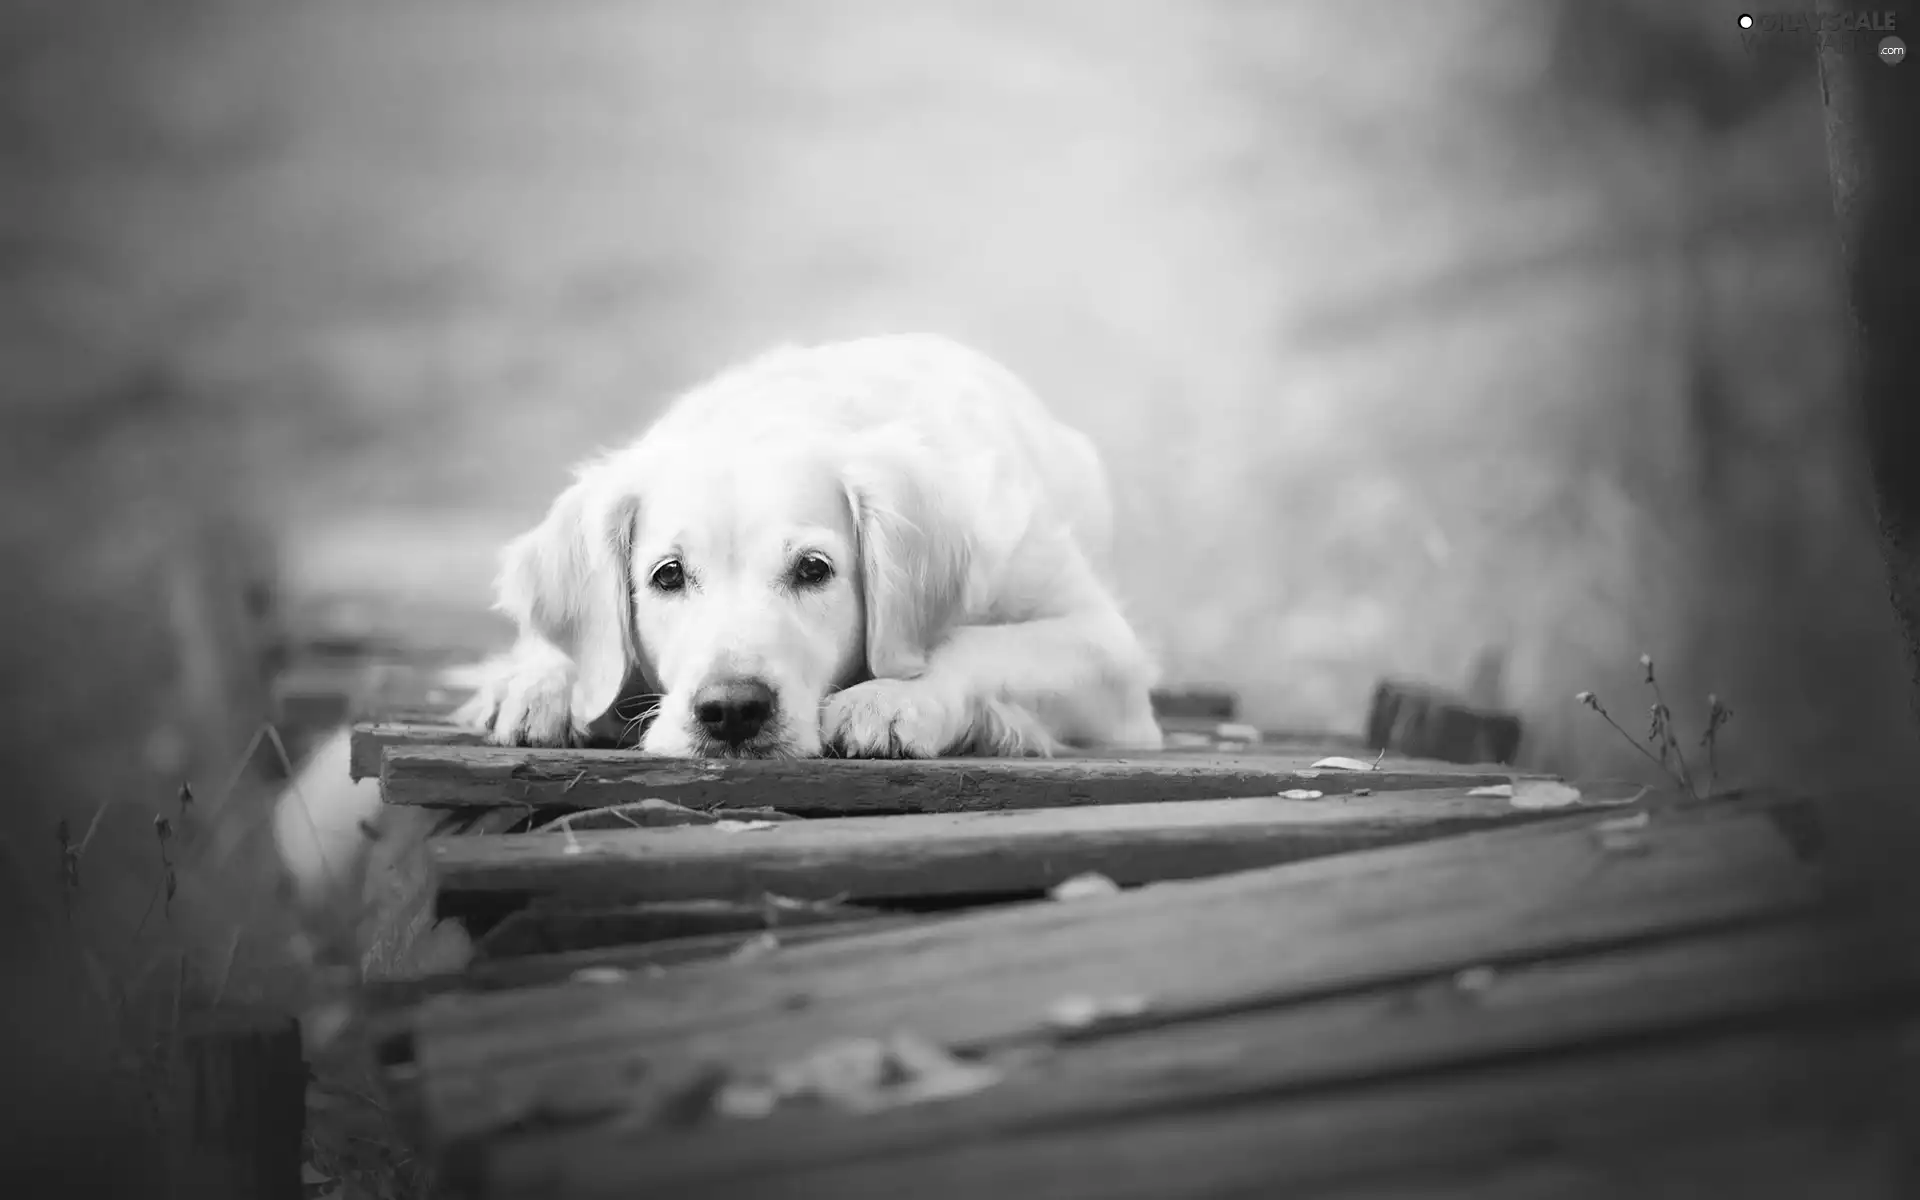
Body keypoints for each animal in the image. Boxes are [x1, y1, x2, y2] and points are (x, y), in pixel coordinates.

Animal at [455, 332, 1159, 752]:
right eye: (667, 575)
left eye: (814, 570)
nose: (732, 711)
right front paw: (544, 684)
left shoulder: (1109, 654)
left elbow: (975, 645)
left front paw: (893, 697)